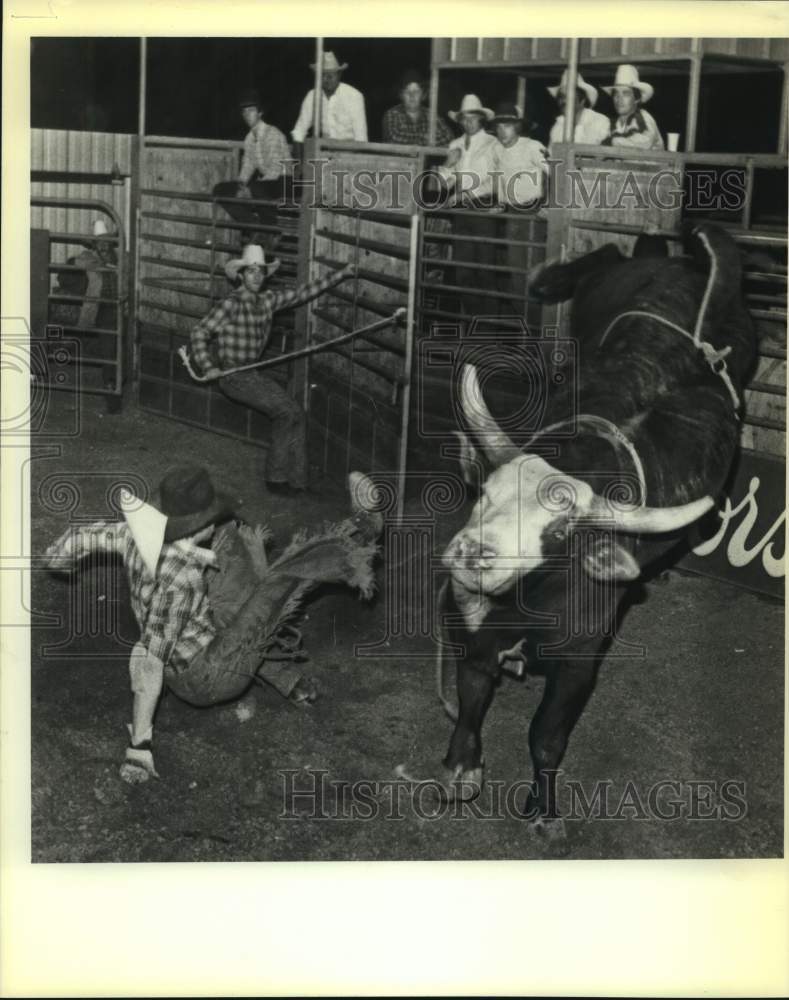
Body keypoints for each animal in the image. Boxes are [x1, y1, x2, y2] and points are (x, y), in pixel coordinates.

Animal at [434, 225, 756, 836]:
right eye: (484, 494)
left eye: (559, 533)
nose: (471, 554)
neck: (530, 601)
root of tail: (675, 263)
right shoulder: (475, 623)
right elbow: (471, 690)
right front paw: (461, 767)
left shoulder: (580, 662)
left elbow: (546, 736)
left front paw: (543, 810)